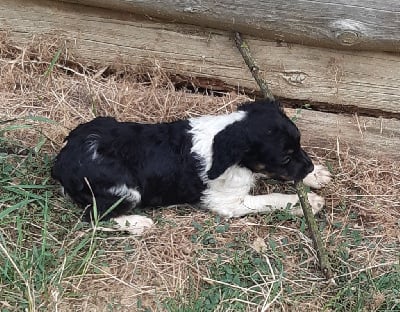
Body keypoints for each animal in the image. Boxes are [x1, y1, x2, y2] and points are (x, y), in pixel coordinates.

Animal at [51, 98, 330, 233]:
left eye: (300, 143)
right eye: (284, 157)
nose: (309, 167)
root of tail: (62, 161)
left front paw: (316, 175)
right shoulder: (227, 203)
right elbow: (270, 199)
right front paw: (309, 202)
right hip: (125, 189)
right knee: (93, 217)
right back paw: (138, 224)